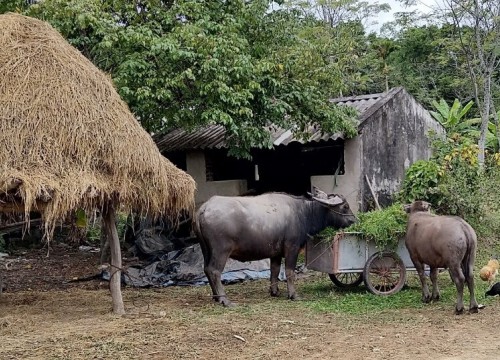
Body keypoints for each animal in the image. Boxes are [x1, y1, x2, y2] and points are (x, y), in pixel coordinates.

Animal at [194, 187, 356, 306]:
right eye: (345, 206)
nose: (354, 220)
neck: (303, 213)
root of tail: (204, 208)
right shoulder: (292, 248)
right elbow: (289, 272)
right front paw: (293, 294)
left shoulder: (275, 253)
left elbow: (274, 271)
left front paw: (274, 292)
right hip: (221, 250)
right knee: (214, 271)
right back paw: (224, 299)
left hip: (206, 250)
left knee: (207, 269)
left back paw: (216, 297)